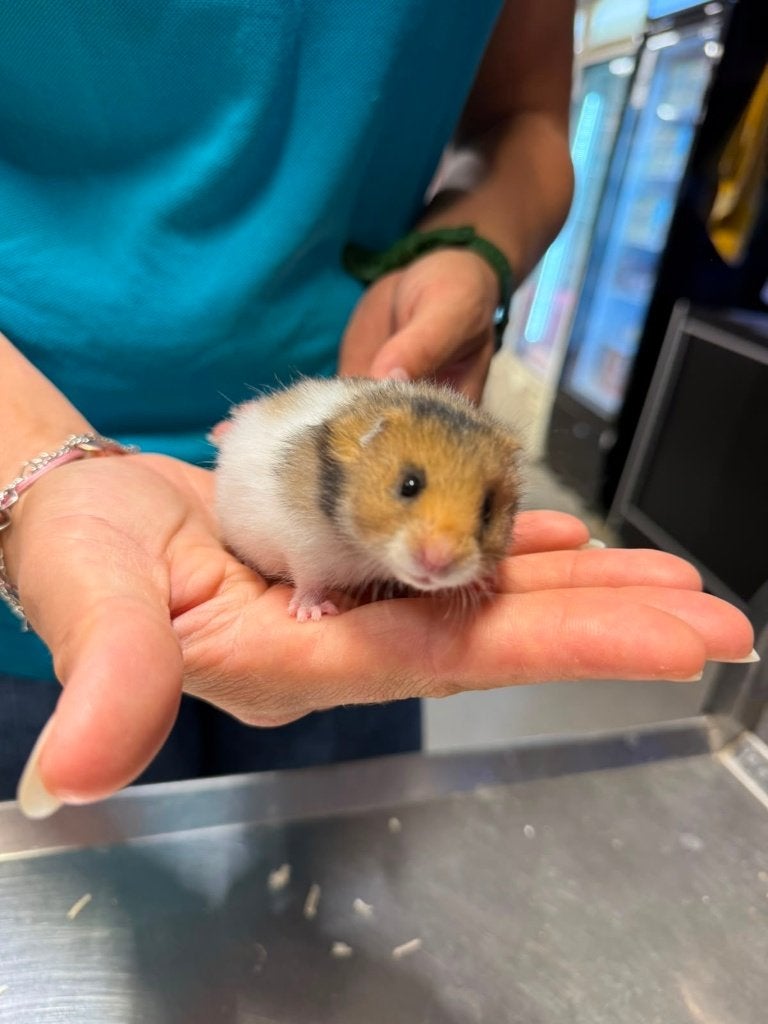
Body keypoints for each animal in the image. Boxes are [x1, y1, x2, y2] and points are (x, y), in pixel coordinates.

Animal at [213, 377, 522, 622]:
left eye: (487, 510)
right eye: (409, 485)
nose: (437, 563)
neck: (364, 551)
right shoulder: (304, 546)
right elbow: (310, 580)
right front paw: (311, 613)